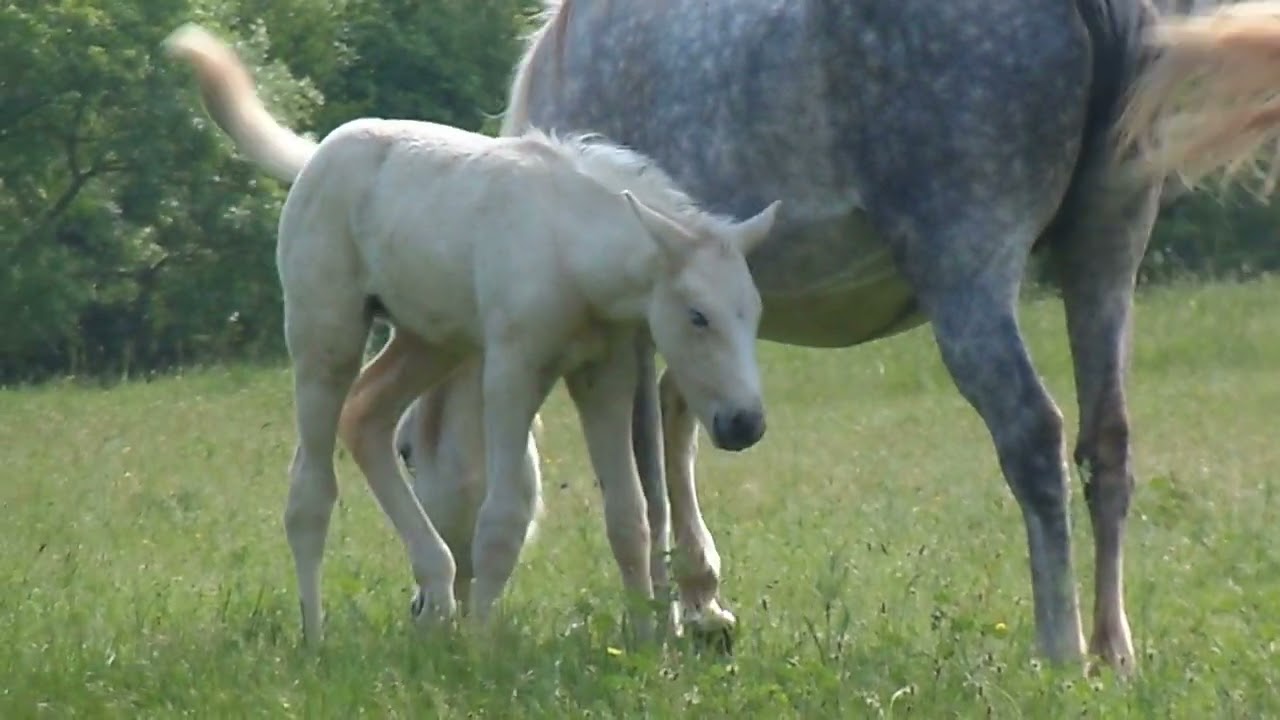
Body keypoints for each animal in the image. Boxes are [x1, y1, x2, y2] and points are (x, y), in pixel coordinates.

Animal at [164, 24, 782, 644]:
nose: (744, 424)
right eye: (697, 315)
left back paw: (437, 588)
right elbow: (503, 515)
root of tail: (317, 156)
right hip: (325, 332)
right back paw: (316, 637)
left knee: (366, 415)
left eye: (754, 312)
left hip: (431, 340)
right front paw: (485, 646)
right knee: (310, 489)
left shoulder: (603, 373)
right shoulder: (513, 368)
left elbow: (629, 515)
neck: (568, 247)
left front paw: (650, 644)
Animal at [387, 0, 1280, 673]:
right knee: (1108, 443)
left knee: (1034, 436)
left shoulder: (632, 323)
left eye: (403, 450)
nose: (429, 607)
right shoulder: (694, 318)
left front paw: (663, 620)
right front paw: (702, 604)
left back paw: (1058, 649)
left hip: (968, 267)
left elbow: (642, 466)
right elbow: (679, 430)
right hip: (1107, 247)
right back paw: (1113, 650)